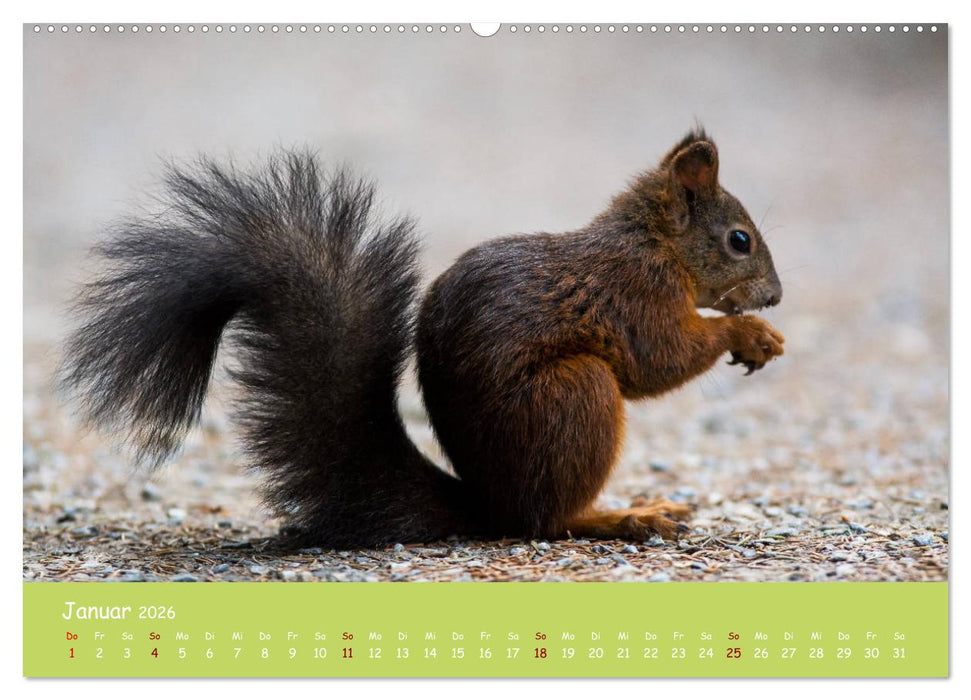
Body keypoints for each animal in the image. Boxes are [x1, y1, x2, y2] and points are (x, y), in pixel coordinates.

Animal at [61, 128, 784, 548]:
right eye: (739, 240)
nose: (775, 296)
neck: (655, 245)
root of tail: (488, 503)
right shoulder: (636, 296)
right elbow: (658, 359)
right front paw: (748, 333)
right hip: (575, 396)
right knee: (545, 522)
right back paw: (620, 516)